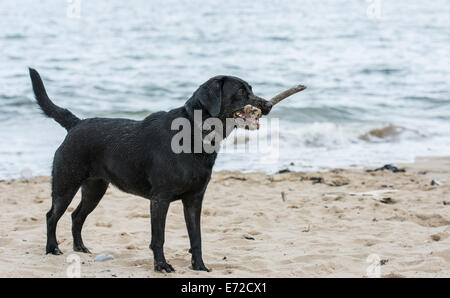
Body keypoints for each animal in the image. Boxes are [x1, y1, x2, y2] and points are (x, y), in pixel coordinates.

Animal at [30, 68, 274, 272]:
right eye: (240, 91)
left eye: (250, 89)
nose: (269, 106)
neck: (193, 133)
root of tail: (76, 124)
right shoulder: (160, 199)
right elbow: (159, 237)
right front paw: (161, 266)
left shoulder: (194, 199)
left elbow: (196, 237)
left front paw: (199, 266)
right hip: (66, 184)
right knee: (51, 215)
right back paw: (52, 248)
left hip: (95, 189)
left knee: (76, 216)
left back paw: (80, 248)